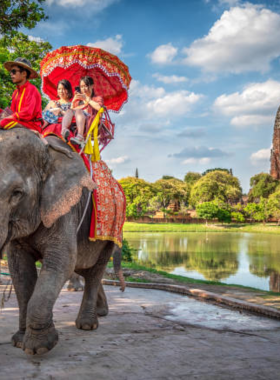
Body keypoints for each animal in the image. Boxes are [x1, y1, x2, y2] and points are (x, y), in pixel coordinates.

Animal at [0, 128, 122, 356]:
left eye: (17, 193)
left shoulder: (66, 208)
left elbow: (62, 261)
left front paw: (39, 347)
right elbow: (20, 270)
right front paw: (19, 341)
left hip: (110, 231)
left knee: (94, 271)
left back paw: (87, 325)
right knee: (85, 268)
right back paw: (100, 313)